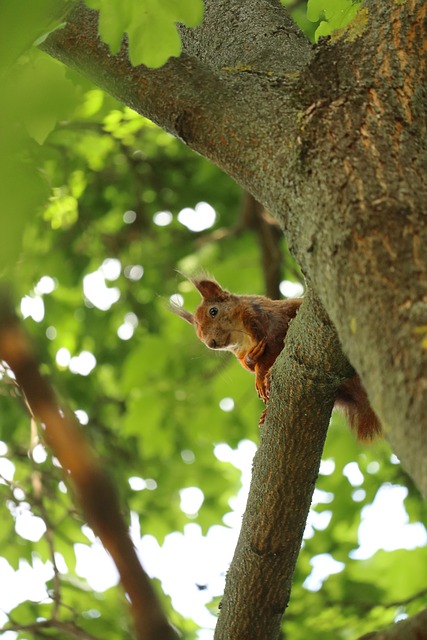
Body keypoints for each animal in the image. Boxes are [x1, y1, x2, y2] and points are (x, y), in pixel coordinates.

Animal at [172, 276, 382, 440]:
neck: (242, 338)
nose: (211, 343)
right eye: (198, 333)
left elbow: (274, 345)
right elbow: (252, 363)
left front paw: (262, 377)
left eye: (213, 311)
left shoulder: (267, 321)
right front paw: (254, 366)